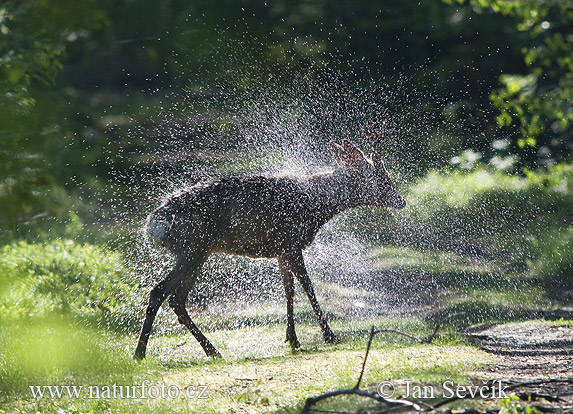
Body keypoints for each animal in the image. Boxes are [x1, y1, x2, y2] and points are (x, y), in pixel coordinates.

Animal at [134, 136, 404, 360]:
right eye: (384, 179)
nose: (401, 201)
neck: (316, 205)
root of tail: (153, 224)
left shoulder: (281, 250)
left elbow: (289, 290)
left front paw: (292, 338)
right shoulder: (292, 241)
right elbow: (308, 288)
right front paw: (329, 335)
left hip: (199, 252)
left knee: (177, 300)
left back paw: (212, 351)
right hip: (194, 245)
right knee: (159, 291)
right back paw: (140, 353)